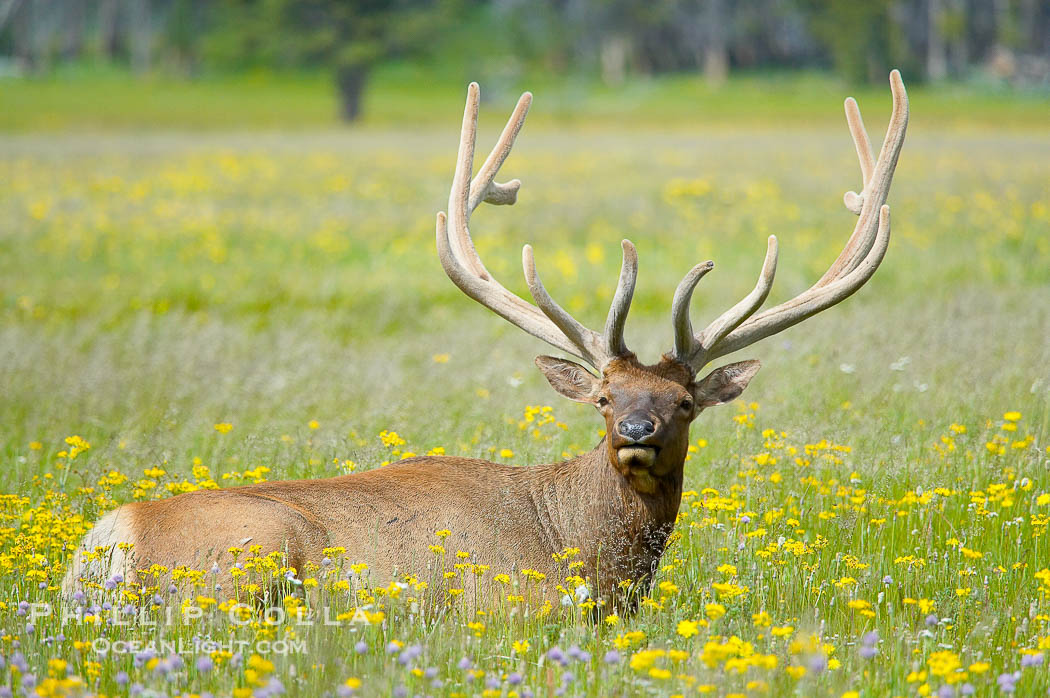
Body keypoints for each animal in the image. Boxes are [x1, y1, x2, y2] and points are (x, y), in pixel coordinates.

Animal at [64, 71, 908, 613]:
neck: (587, 556)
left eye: (685, 402)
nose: (637, 430)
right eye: (604, 397)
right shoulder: (512, 609)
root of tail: (110, 542)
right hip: (250, 562)